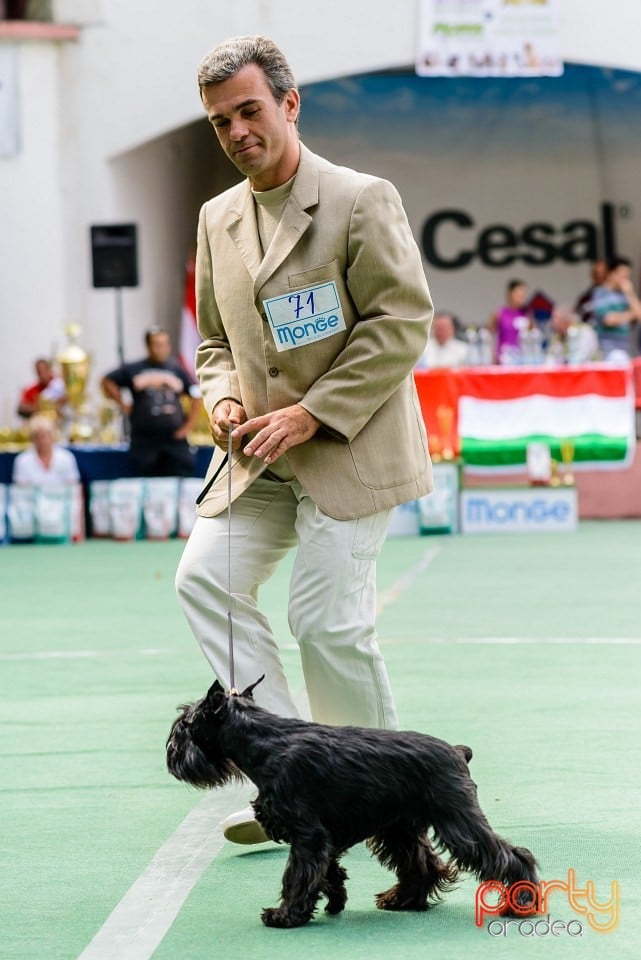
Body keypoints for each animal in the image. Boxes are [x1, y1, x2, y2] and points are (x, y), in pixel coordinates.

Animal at [165, 680, 536, 928]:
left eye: (185, 723)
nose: (172, 754)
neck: (264, 742)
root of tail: (458, 751)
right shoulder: (322, 837)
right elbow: (326, 871)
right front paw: (333, 902)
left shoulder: (307, 833)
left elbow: (297, 875)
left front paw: (285, 915)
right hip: (398, 829)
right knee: (422, 865)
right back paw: (401, 900)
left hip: (457, 822)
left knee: (513, 856)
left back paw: (521, 903)